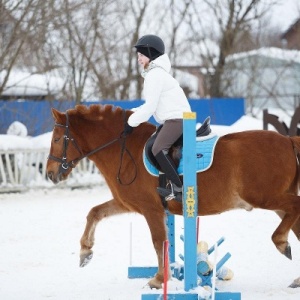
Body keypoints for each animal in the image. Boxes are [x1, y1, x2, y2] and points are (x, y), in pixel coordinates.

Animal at [45, 103, 300, 288]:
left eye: (57, 139)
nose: (49, 174)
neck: (125, 150)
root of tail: (287, 140)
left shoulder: (151, 209)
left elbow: (159, 241)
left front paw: (159, 279)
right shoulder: (127, 203)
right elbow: (95, 213)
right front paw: (85, 252)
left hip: (266, 197)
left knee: (295, 209)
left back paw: (280, 242)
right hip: (276, 203)